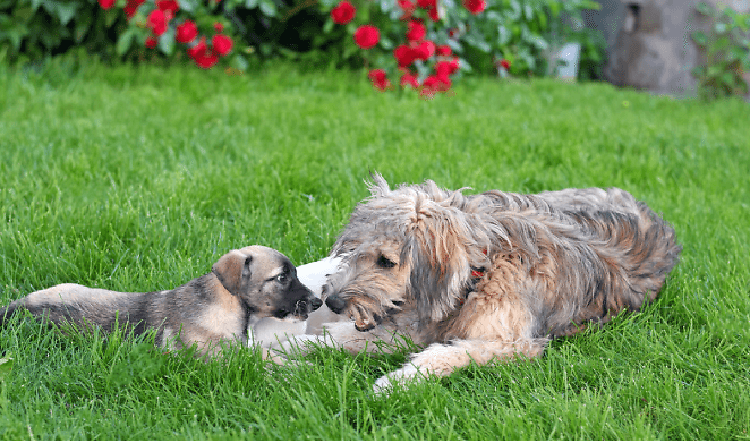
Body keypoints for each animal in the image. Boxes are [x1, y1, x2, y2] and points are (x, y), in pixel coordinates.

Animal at [308, 174, 684, 390]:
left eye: (386, 261)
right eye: (354, 251)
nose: (332, 302)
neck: (482, 269)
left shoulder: (512, 342)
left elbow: (449, 353)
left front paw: (398, 380)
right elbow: (349, 338)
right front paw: (305, 344)